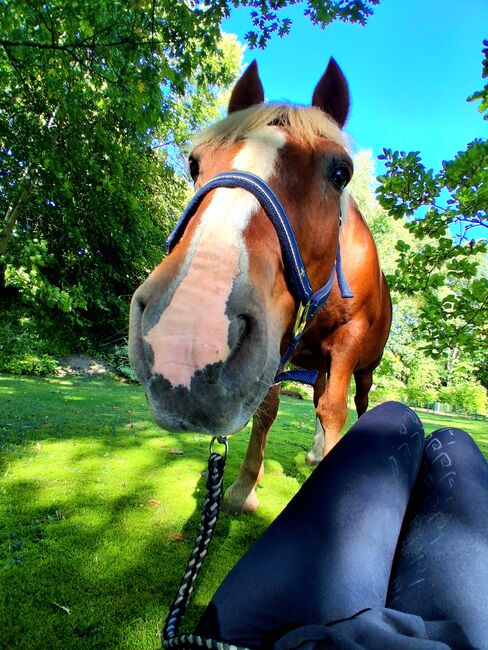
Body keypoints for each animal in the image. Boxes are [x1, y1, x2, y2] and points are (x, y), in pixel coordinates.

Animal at [128, 58, 392, 514]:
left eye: (340, 173)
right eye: (194, 164)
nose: (185, 340)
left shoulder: (346, 341)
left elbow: (335, 411)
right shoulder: (276, 341)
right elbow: (268, 407)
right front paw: (244, 486)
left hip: (365, 368)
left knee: (354, 403)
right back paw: (314, 453)